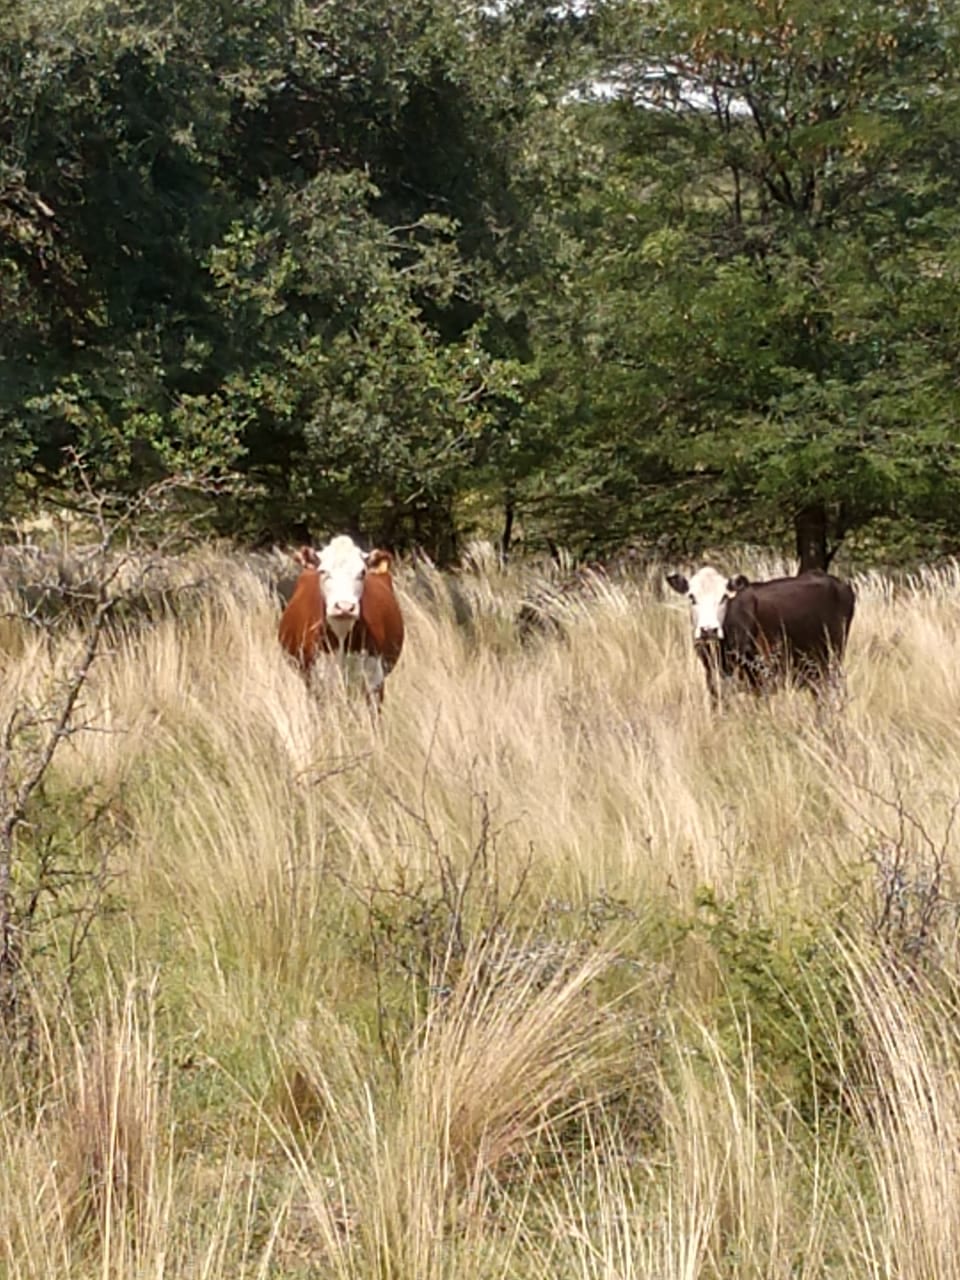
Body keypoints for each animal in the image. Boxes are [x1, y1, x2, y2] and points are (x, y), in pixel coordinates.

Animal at [666, 566, 856, 706]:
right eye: (692, 597)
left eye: (724, 597)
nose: (708, 630)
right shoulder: (713, 679)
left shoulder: (762, 678)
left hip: (832, 662)